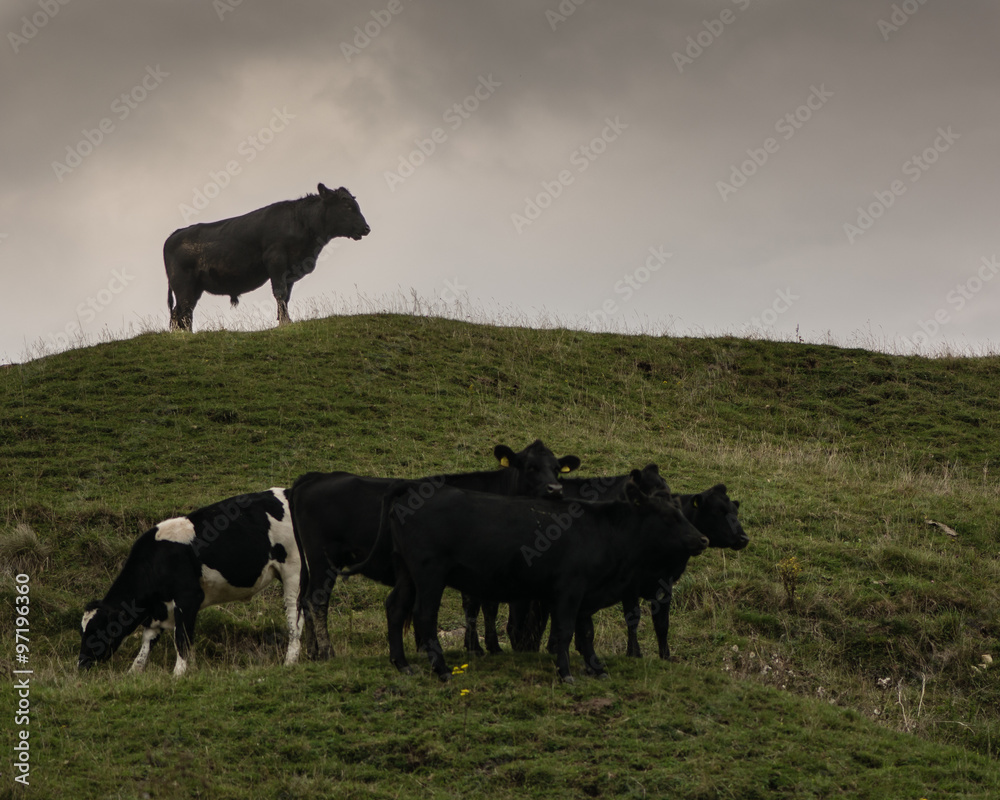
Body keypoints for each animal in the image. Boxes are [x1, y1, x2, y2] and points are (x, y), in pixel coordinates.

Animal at [78, 489, 300, 676]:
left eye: (97, 630)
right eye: (82, 630)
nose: (81, 663)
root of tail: (286, 492)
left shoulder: (188, 598)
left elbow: (182, 638)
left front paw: (179, 673)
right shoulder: (158, 610)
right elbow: (146, 643)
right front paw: (133, 672)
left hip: (293, 571)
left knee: (294, 615)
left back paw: (290, 661)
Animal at [164, 183, 370, 331]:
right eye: (347, 206)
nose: (366, 228)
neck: (301, 222)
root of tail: (175, 234)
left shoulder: (290, 271)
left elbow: (286, 296)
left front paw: (284, 320)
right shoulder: (276, 261)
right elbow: (279, 292)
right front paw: (284, 322)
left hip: (194, 287)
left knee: (184, 312)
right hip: (182, 284)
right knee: (181, 311)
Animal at [288, 440, 581, 660]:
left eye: (557, 469)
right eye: (531, 467)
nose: (556, 489)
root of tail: (315, 477)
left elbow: (488, 604)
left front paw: (488, 647)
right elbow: (474, 604)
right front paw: (476, 648)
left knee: (306, 601)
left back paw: (313, 652)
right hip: (323, 557)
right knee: (317, 600)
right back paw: (327, 652)